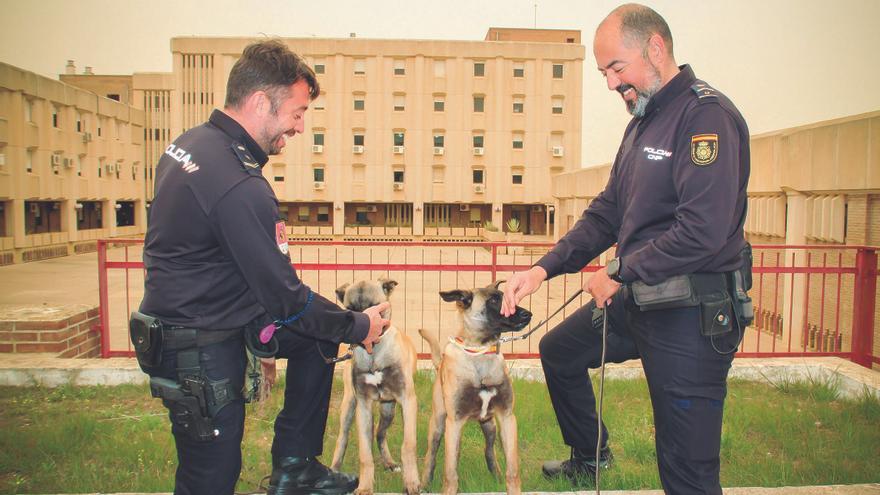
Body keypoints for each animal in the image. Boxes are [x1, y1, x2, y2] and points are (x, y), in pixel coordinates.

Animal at [330, 280, 420, 495]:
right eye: (350, 310)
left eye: (375, 307)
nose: (363, 332)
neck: (374, 356)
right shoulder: (363, 405)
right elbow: (365, 454)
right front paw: (364, 486)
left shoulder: (407, 401)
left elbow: (408, 446)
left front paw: (412, 482)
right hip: (350, 407)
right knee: (343, 438)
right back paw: (334, 470)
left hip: (389, 409)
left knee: (380, 433)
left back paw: (390, 463)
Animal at [418, 280, 528, 495]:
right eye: (493, 300)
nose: (528, 314)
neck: (480, 353)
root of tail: (439, 364)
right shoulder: (455, 422)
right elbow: (450, 473)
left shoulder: (507, 418)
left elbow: (513, 469)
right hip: (439, 425)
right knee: (431, 455)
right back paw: (425, 482)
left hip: (490, 426)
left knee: (489, 450)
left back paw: (496, 475)